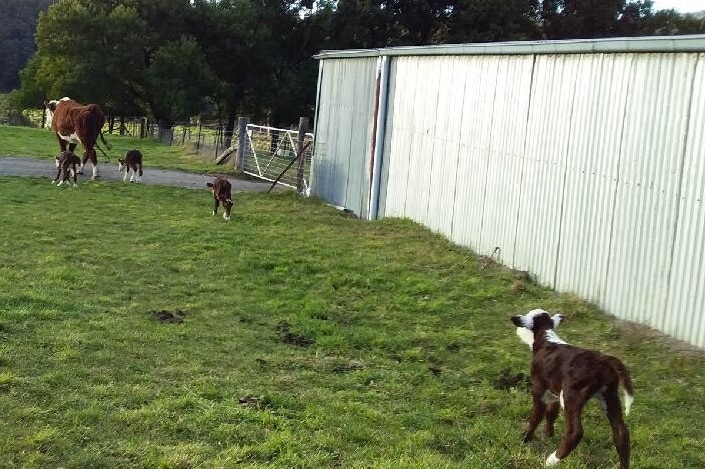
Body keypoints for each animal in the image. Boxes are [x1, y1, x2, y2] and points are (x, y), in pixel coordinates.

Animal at [508, 308, 636, 466]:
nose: (517, 329)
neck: (546, 338)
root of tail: (603, 359)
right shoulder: (554, 392)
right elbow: (551, 412)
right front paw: (549, 435)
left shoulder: (539, 387)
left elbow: (536, 415)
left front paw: (525, 438)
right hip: (609, 395)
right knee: (621, 433)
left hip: (572, 394)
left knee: (575, 432)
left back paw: (552, 460)